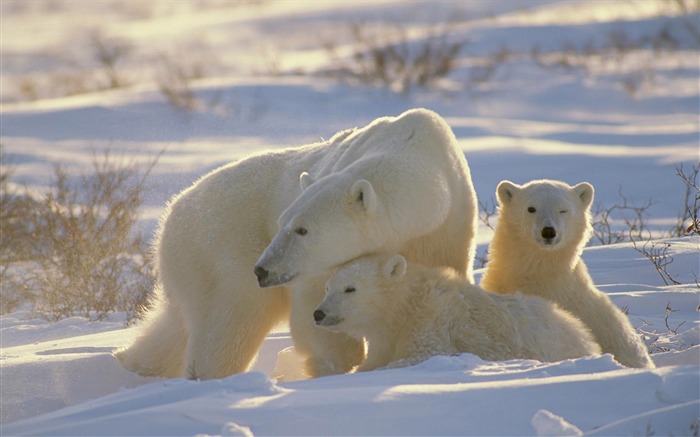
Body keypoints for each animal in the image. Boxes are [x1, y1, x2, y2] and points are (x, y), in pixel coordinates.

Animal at [119, 109, 482, 378]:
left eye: (302, 229)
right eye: (283, 222)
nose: (262, 269)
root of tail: (172, 212)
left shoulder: (446, 228)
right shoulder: (317, 267)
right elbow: (316, 308)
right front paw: (337, 365)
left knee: (174, 328)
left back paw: (131, 363)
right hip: (220, 249)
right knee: (229, 324)